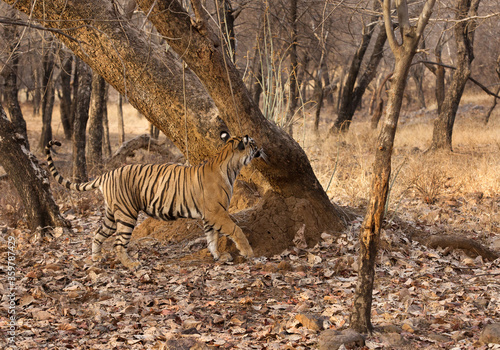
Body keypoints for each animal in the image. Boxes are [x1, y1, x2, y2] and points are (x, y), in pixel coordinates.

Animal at [45, 132, 264, 270]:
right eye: (253, 143)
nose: (262, 149)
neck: (230, 165)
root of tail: (106, 175)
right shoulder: (216, 212)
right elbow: (235, 230)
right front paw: (249, 252)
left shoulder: (209, 215)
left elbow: (212, 238)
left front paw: (219, 256)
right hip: (126, 214)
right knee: (118, 244)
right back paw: (131, 264)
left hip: (111, 214)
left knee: (98, 233)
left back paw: (97, 258)